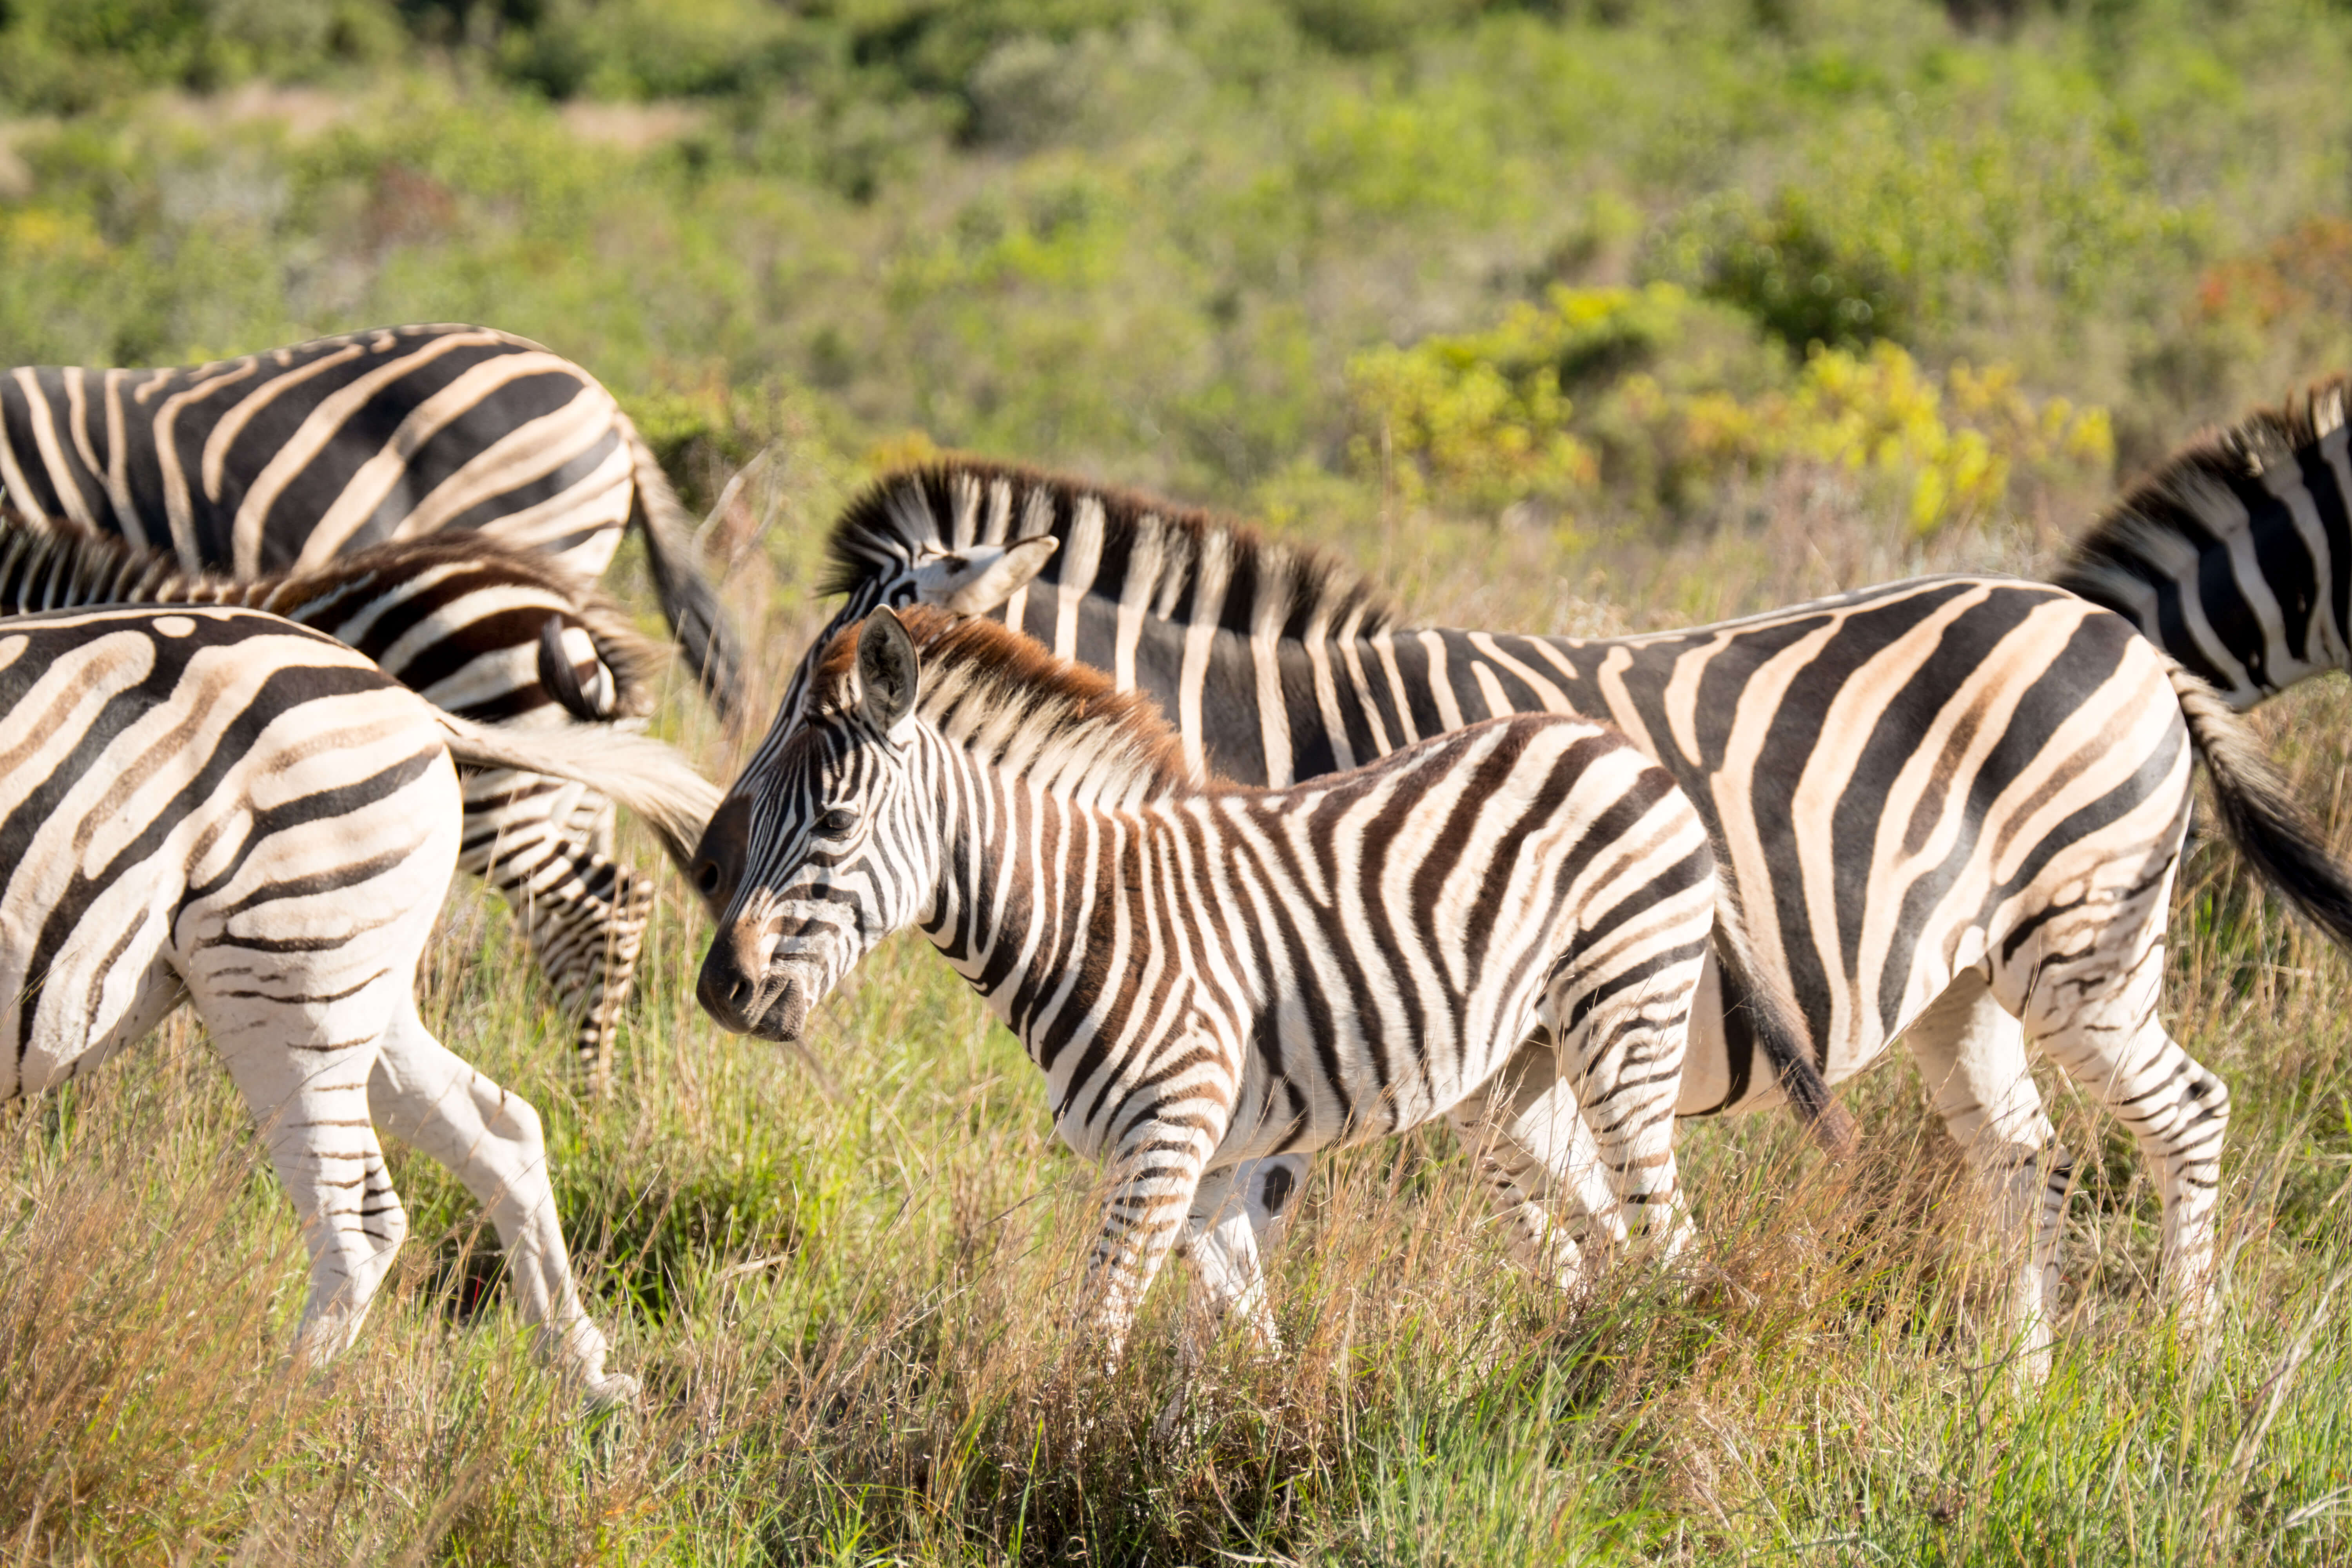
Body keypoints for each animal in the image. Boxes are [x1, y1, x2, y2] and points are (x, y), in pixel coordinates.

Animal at [0, 512, 687, 1091]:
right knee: (588, 910)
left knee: (601, 907)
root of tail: (574, 615)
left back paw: (588, 1085)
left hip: (497, 807)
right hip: (573, 797)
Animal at [0, 602, 715, 1401]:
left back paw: (268, 1411)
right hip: (359, 979)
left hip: (290, 978)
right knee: (503, 1126)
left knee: (360, 1224)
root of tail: (409, 701)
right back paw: (577, 1366)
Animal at [687, 606, 1825, 1354]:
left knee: (1667, 1237)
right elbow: (1246, 1345)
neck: (1083, 915)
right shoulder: (1205, 1167)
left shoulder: (1166, 1139)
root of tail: (1624, 749)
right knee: (1612, 1241)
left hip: (1624, 1016)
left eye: (836, 822)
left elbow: (1094, 1336)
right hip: (1517, 1079)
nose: (719, 990)